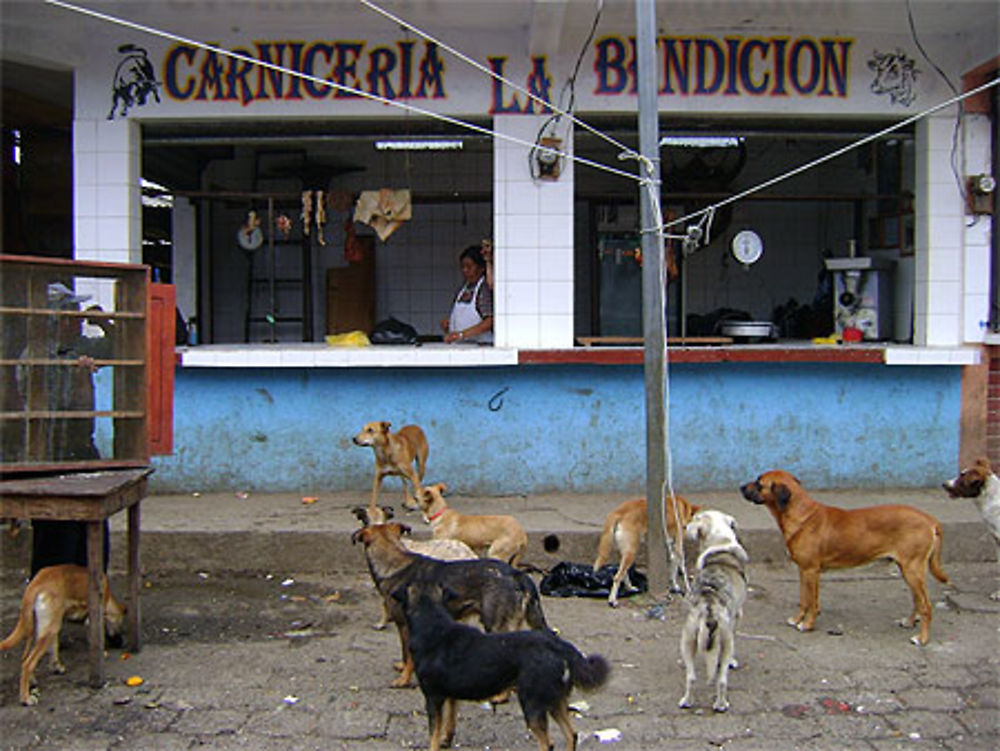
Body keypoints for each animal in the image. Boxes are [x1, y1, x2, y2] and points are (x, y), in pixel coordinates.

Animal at [0, 564, 126, 704]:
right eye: (120, 625)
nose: (121, 643)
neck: (108, 598)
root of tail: (35, 584)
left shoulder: (57, 625)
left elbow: (54, 648)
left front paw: (57, 667)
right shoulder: (92, 619)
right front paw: (101, 651)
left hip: (41, 630)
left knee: (24, 658)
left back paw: (31, 682)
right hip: (47, 631)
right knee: (28, 664)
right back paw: (25, 698)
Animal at [352, 524, 552, 688]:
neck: (395, 561)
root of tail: (518, 574)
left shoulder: (407, 625)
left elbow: (408, 655)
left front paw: (404, 679)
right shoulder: (403, 626)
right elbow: (404, 652)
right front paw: (403, 668)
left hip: (496, 625)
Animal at [394, 580, 604, 751]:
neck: (433, 624)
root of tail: (558, 646)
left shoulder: (433, 697)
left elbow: (433, 736)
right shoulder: (451, 694)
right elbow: (450, 721)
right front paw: (447, 740)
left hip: (533, 704)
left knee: (548, 743)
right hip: (554, 701)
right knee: (571, 735)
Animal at [676, 508, 748, 712]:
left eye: (693, 518)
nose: (684, 526)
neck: (720, 541)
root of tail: (709, 606)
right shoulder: (737, 616)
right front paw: (731, 662)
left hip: (687, 639)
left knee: (691, 677)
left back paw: (687, 701)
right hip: (726, 639)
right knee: (722, 680)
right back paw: (721, 704)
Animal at [740, 470, 948, 648]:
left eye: (759, 483)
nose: (741, 487)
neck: (801, 513)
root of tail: (930, 519)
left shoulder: (811, 571)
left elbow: (812, 602)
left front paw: (807, 624)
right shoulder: (803, 571)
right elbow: (804, 599)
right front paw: (797, 619)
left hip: (912, 571)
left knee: (926, 606)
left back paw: (922, 639)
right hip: (907, 570)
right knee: (917, 601)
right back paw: (910, 622)